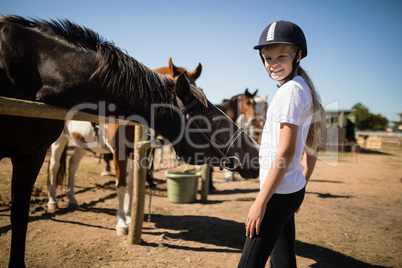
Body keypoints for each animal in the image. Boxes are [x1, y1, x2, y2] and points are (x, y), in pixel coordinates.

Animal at [0, 16, 260, 266]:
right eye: (211, 118)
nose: (256, 153)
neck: (43, 68)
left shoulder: (137, 154)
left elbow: (133, 186)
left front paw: (128, 216)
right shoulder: (118, 152)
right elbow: (122, 186)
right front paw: (122, 224)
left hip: (83, 144)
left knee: (72, 165)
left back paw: (72, 198)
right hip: (58, 143)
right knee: (54, 166)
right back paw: (54, 202)